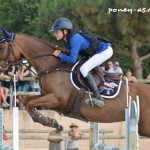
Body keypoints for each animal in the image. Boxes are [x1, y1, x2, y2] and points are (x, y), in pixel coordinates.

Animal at [0, 32, 150, 137]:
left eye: (2, 47)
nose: (2, 67)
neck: (54, 66)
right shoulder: (45, 95)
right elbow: (26, 100)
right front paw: (51, 122)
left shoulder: (57, 100)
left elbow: (30, 104)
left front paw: (49, 121)